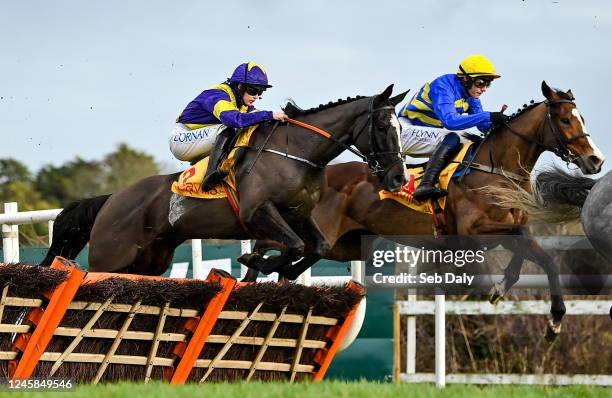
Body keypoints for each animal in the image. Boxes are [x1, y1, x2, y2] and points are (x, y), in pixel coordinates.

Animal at [40, 84, 408, 276]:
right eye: (383, 126)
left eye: (401, 128)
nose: (398, 177)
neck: (296, 153)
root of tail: (110, 200)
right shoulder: (257, 212)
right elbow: (294, 245)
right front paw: (255, 261)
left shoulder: (300, 215)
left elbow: (315, 247)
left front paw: (279, 268)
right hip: (111, 257)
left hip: (150, 260)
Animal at [245, 82, 608, 340]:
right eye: (565, 119)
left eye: (582, 118)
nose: (596, 160)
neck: (495, 171)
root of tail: (315, 175)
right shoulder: (471, 234)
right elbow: (518, 241)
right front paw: (501, 285)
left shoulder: (505, 234)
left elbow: (546, 260)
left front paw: (554, 320)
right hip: (319, 232)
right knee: (270, 244)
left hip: (342, 246)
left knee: (284, 253)